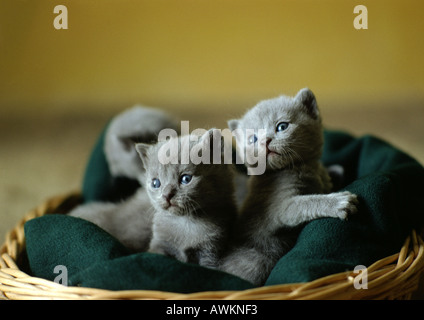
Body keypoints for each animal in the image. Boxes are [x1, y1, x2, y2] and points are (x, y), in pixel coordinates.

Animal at [137, 129, 238, 268]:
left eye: (185, 179)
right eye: (155, 183)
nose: (166, 195)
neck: (186, 222)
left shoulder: (211, 252)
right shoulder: (159, 243)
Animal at [222, 87, 358, 284]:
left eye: (282, 126)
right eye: (252, 139)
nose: (265, 141)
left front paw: (335, 174)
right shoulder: (277, 206)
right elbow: (304, 203)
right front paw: (339, 202)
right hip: (257, 260)